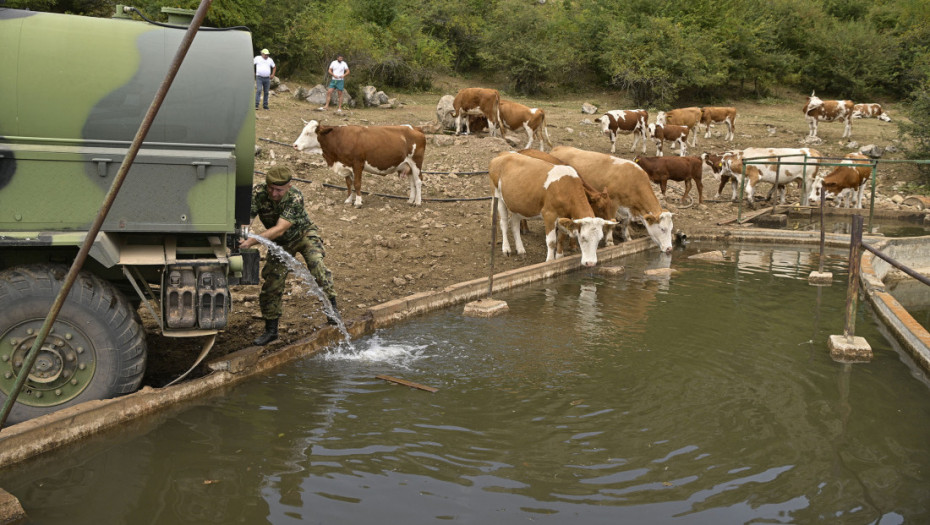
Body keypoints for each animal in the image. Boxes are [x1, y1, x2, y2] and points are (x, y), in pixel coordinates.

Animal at [292, 119, 426, 208]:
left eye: (308, 133)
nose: (295, 145)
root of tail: (414, 128)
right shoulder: (346, 165)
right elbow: (348, 184)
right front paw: (348, 200)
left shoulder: (358, 164)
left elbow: (357, 184)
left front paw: (358, 202)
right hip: (407, 165)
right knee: (412, 182)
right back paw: (411, 200)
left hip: (416, 162)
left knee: (418, 181)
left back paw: (418, 202)